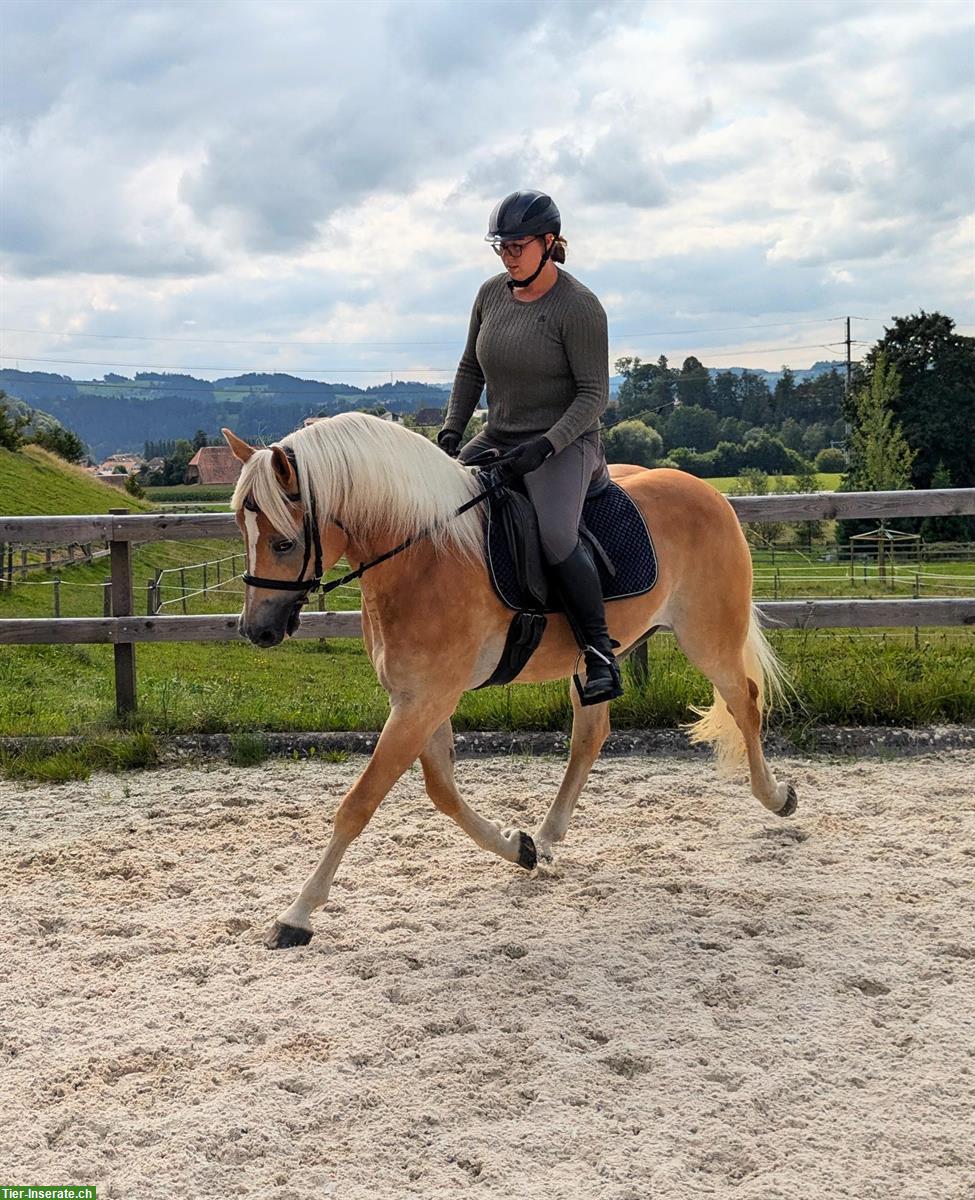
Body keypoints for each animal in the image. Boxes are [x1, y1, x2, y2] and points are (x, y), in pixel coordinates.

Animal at [224, 412, 797, 945]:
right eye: (241, 528)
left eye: (283, 543)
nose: (257, 630)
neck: (423, 553)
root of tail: (710, 493)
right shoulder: (418, 699)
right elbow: (442, 790)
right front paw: (518, 847)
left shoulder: (423, 701)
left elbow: (359, 803)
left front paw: (297, 915)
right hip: (596, 661)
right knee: (590, 735)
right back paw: (547, 836)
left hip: (710, 638)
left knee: (745, 703)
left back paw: (776, 796)